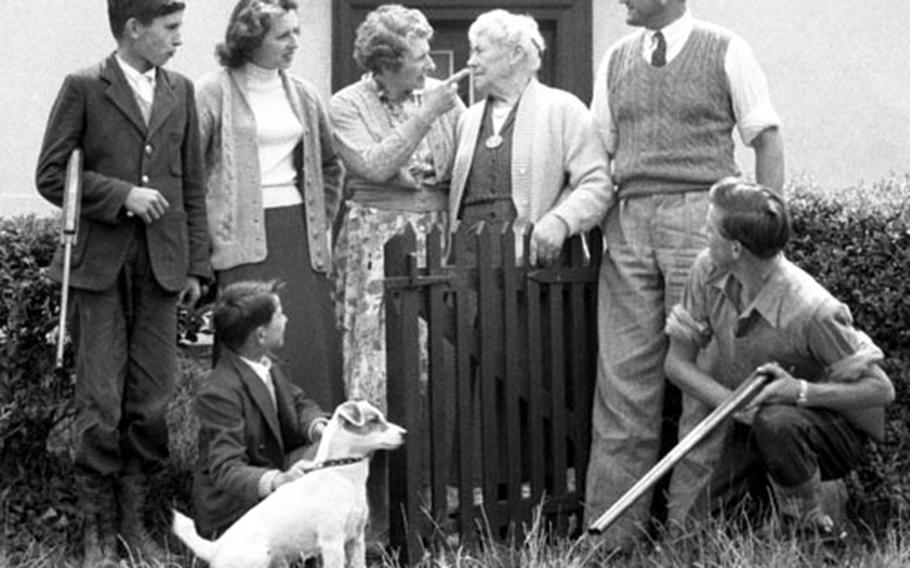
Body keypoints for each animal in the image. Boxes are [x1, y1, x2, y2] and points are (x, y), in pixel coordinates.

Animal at [174, 400, 406, 568]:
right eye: (374, 420)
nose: (404, 433)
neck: (340, 474)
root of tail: (215, 548)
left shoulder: (356, 539)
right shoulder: (332, 543)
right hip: (258, 559)